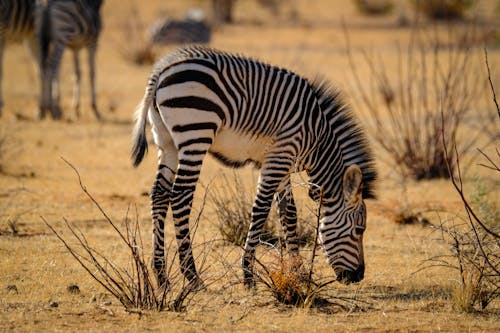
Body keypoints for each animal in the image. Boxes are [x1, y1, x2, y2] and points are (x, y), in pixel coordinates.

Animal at [131, 45, 376, 290]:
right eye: (359, 230)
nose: (359, 276)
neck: (318, 139)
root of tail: (162, 69)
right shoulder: (280, 155)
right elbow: (261, 209)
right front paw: (248, 275)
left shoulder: (283, 162)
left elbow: (288, 213)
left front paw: (297, 273)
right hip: (196, 133)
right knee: (180, 196)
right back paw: (192, 276)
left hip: (166, 141)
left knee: (159, 194)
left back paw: (161, 276)